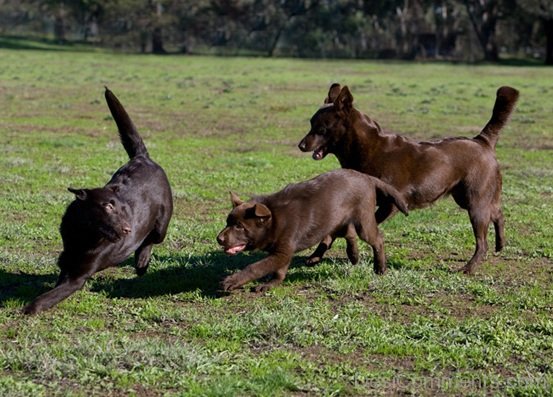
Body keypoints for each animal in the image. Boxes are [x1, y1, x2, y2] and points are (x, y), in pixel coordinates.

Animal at [23, 88, 172, 314]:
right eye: (107, 206)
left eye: (122, 208)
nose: (128, 229)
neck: (84, 234)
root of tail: (143, 157)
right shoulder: (68, 262)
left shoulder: (78, 277)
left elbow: (47, 297)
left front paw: (27, 309)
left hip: (161, 225)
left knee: (151, 239)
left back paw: (142, 262)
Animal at [215, 167, 406, 290]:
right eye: (227, 222)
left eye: (239, 226)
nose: (219, 239)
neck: (274, 219)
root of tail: (367, 177)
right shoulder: (282, 252)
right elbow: (279, 271)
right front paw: (271, 284)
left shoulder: (282, 251)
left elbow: (256, 267)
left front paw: (232, 281)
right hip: (338, 216)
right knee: (348, 233)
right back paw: (353, 255)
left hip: (363, 220)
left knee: (377, 239)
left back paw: (379, 268)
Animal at [298, 83, 516, 276]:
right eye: (310, 124)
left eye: (321, 128)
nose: (301, 145)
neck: (367, 148)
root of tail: (481, 141)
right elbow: (332, 231)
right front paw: (316, 255)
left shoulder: (390, 205)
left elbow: (343, 229)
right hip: (467, 197)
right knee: (497, 213)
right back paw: (501, 244)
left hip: (475, 202)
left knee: (482, 242)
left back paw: (468, 268)